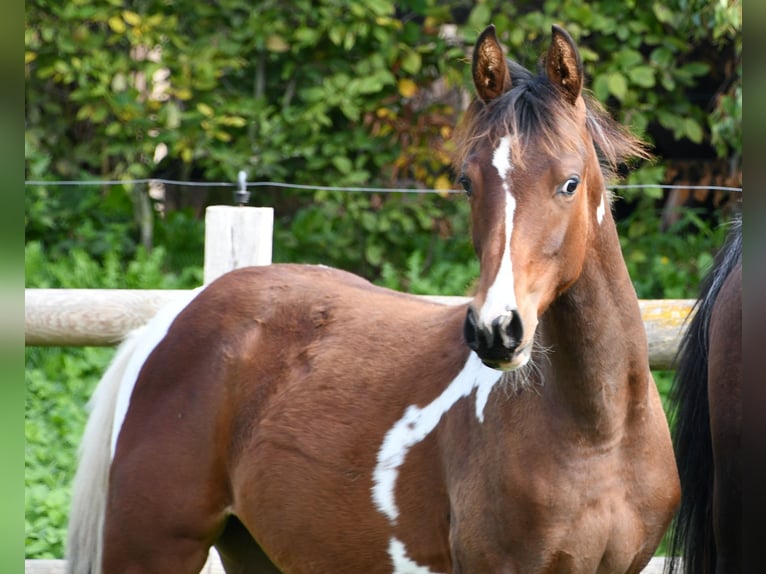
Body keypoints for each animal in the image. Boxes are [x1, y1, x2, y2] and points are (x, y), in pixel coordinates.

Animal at [66, 24, 680, 573]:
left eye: (570, 183)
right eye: (468, 182)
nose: (495, 329)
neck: (597, 434)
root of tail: (172, 319)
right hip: (153, 551)